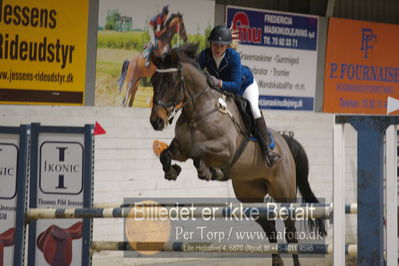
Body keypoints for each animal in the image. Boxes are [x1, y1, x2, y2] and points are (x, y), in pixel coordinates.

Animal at [148, 43, 326, 266]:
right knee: (269, 227)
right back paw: (277, 261)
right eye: (153, 82)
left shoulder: (225, 148)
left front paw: (208, 171)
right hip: (249, 194)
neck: (198, 113)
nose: (156, 121)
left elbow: (198, 152)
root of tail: (285, 143)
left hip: (284, 192)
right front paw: (172, 171)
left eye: (171, 82)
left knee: (291, 232)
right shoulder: (181, 148)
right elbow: (167, 154)